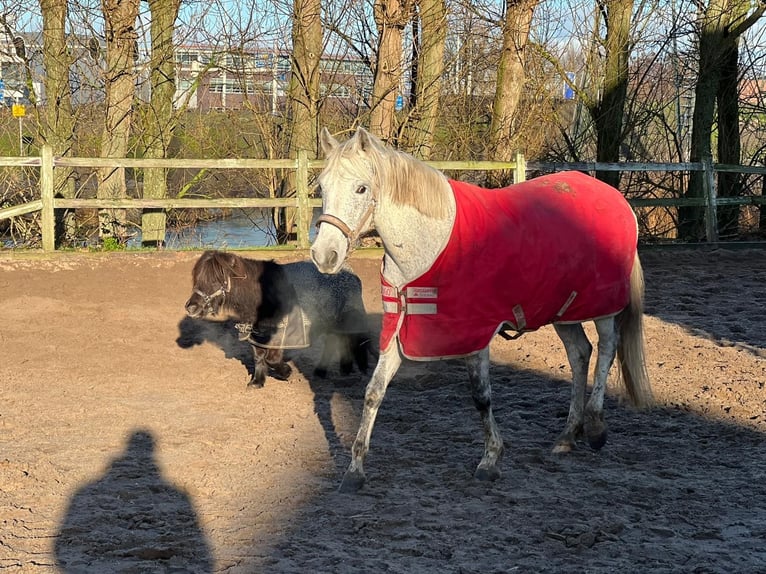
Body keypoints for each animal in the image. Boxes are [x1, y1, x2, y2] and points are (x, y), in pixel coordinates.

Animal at [186, 251, 372, 390]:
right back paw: (326, 370)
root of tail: (352, 274)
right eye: (198, 279)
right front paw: (257, 382)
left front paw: (286, 372)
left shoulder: (279, 336)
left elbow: (272, 359)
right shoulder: (256, 334)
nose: (191, 307)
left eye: (215, 280)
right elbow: (258, 357)